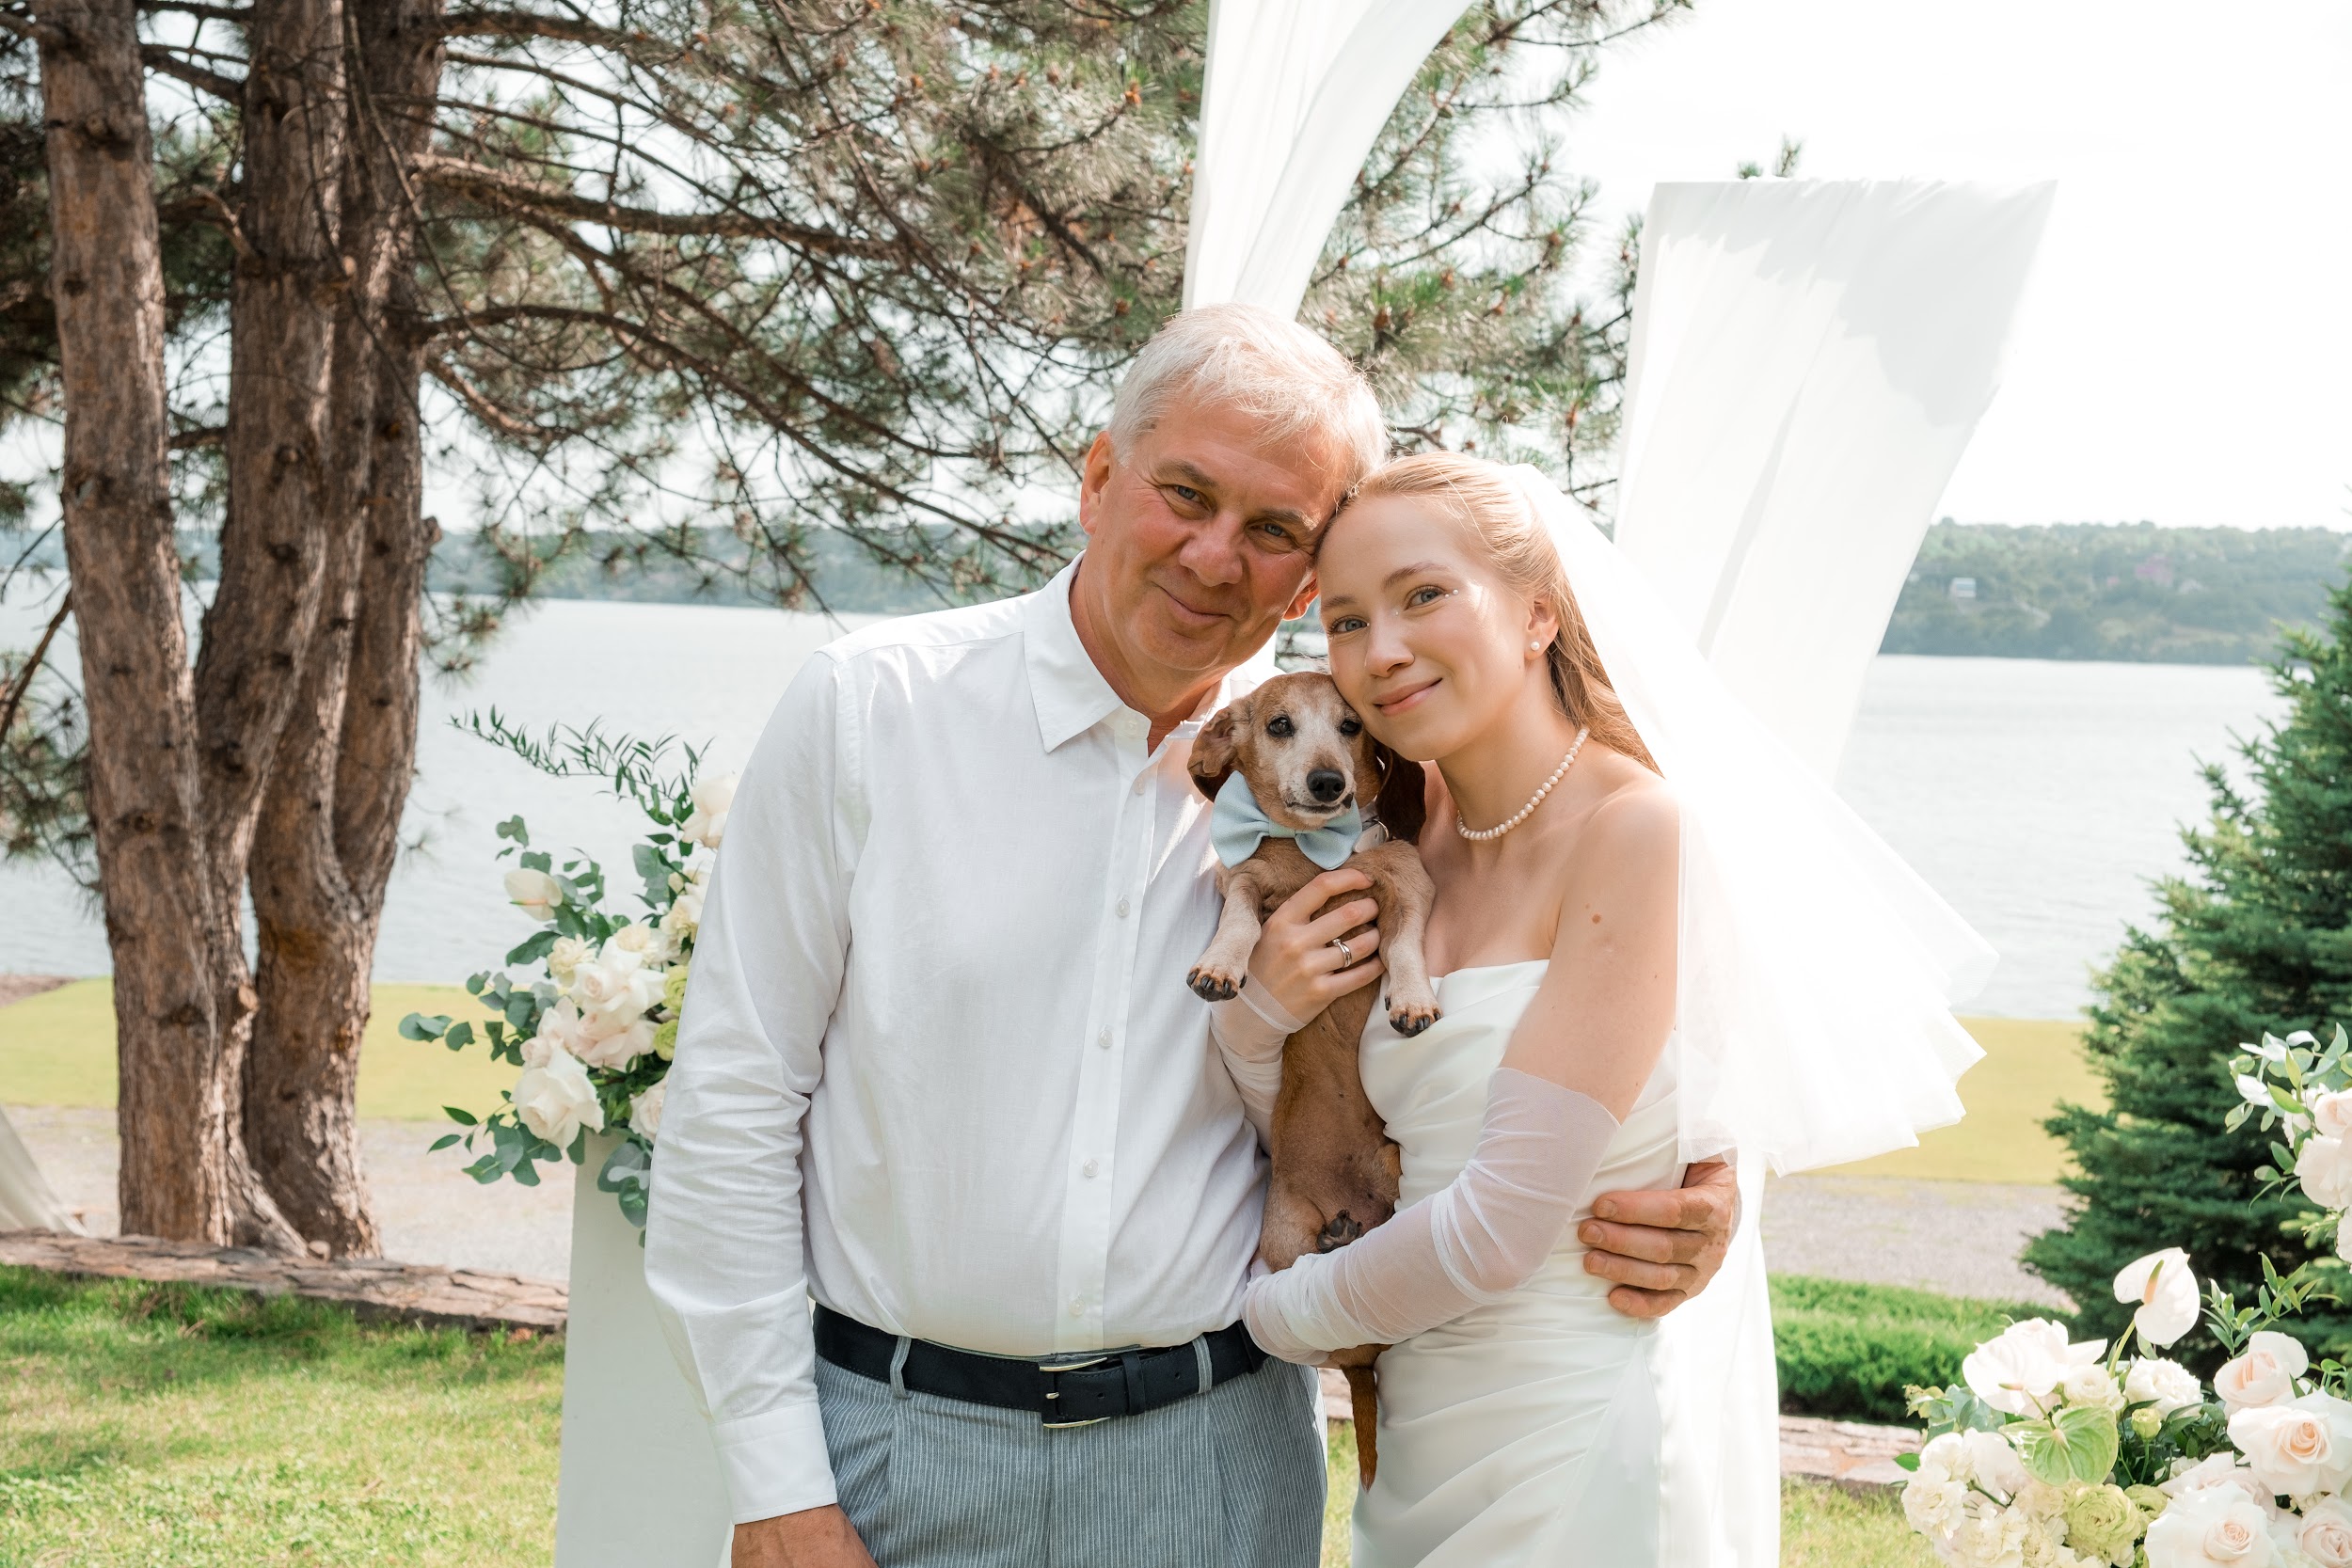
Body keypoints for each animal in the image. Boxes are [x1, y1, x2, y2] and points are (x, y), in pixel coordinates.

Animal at [1185, 671, 1438, 1487]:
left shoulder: (1406, 884)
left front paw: (1410, 995)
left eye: (1352, 725)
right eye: (1279, 724)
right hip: (1282, 1237)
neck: (1313, 857)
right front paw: (1222, 963)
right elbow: (1238, 914)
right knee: (1346, 1337)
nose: (1328, 781)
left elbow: (1405, 944)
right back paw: (1335, 1241)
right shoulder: (1246, 880)